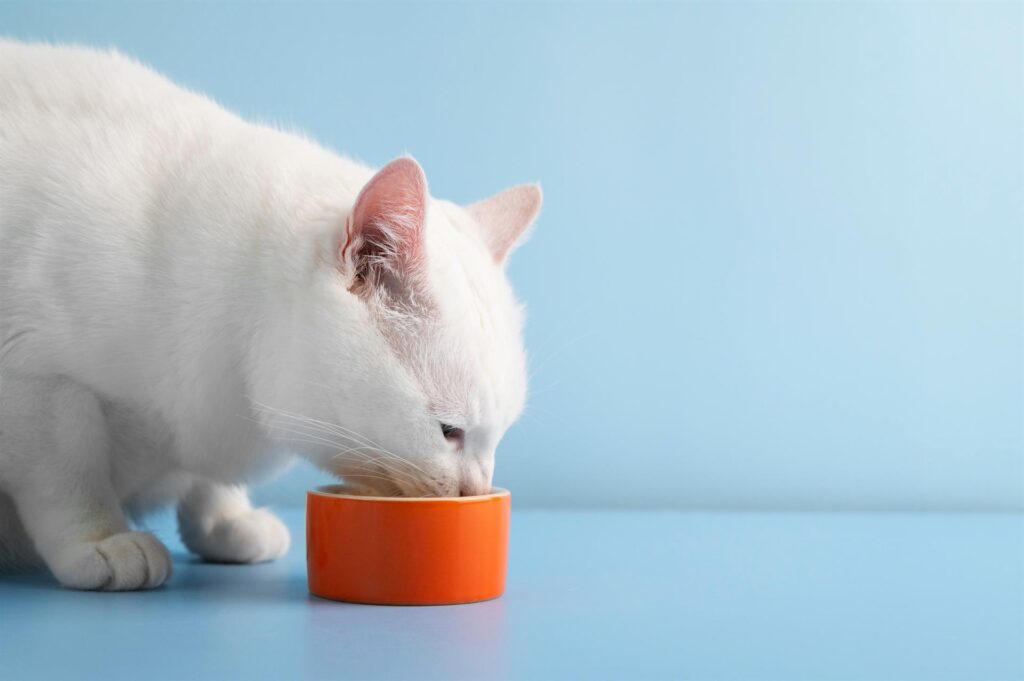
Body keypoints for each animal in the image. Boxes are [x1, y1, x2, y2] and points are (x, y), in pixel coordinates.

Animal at [0, 39, 544, 585]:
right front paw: (101, 539)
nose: (476, 490)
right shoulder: (38, 381)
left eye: (500, 434)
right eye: (449, 431)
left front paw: (225, 523)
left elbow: (205, 482)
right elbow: (69, 474)